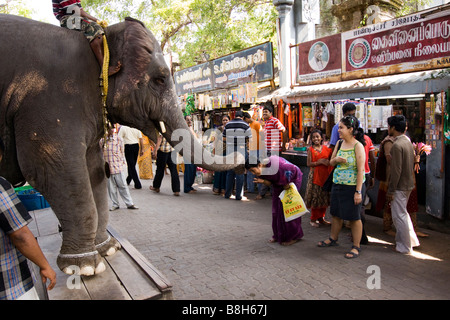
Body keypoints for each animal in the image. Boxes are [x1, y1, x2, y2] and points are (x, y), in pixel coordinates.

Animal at [0, 14, 243, 276]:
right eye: (159, 79)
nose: (241, 154)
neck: (102, 43)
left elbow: (94, 170)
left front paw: (108, 249)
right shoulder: (50, 101)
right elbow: (52, 169)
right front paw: (85, 267)